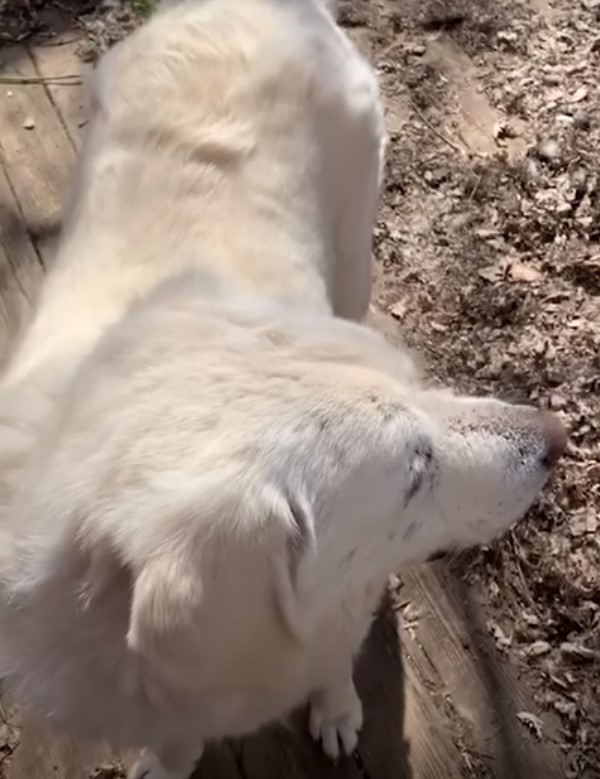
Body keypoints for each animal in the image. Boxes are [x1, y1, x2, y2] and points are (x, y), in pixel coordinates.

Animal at [0, 1, 564, 779]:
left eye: (419, 388)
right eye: (414, 473)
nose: (557, 439)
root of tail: (256, 7)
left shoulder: (342, 607)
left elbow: (334, 660)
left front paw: (337, 712)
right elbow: (179, 737)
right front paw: (168, 760)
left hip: (354, 252)